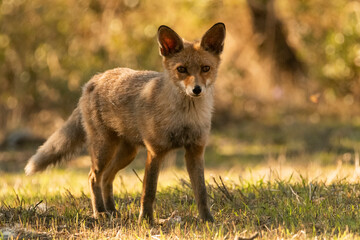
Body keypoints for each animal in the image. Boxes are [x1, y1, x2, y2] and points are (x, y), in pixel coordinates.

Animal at [25, 22, 226, 223]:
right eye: (182, 69)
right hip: (104, 150)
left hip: (127, 153)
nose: (196, 90)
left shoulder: (195, 151)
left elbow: (201, 192)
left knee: (107, 178)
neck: (185, 118)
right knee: (93, 177)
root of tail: (95, 78)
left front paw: (208, 220)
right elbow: (149, 191)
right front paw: (146, 220)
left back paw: (112, 210)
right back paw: (100, 212)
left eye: (205, 68)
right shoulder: (155, 152)